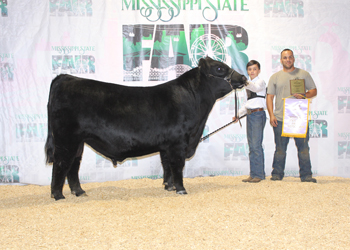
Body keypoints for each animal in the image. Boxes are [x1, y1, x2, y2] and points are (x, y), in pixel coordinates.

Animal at [45, 57, 246, 201]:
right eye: (219, 68)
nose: (243, 77)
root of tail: (66, 77)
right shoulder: (178, 143)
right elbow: (177, 165)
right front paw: (181, 190)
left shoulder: (166, 145)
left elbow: (167, 165)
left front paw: (169, 187)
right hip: (66, 139)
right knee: (61, 163)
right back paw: (58, 195)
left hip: (78, 141)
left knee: (73, 165)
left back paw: (79, 192)